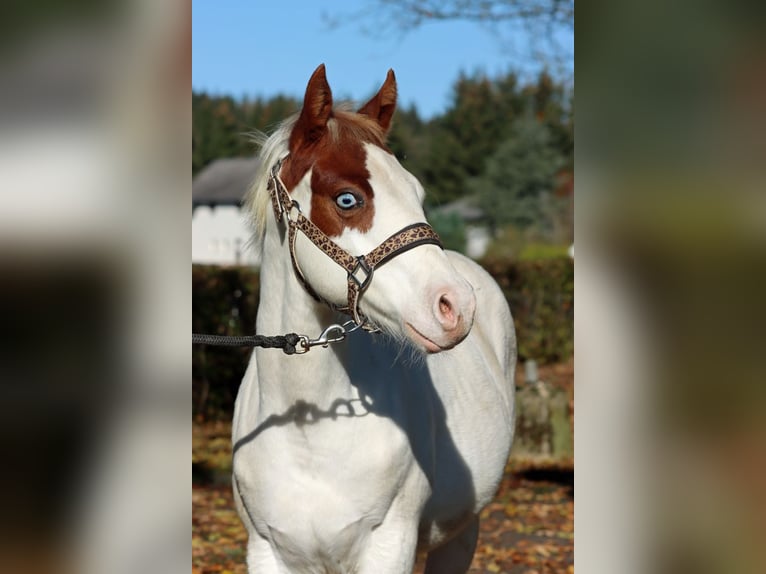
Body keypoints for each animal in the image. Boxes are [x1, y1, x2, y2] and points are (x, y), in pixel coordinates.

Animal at [228, 65, 516, 572]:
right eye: (347, 199)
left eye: (417, 192)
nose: (456, 306)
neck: (309, 430)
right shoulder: (265, 550)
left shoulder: (388, 545)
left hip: (461, 533)